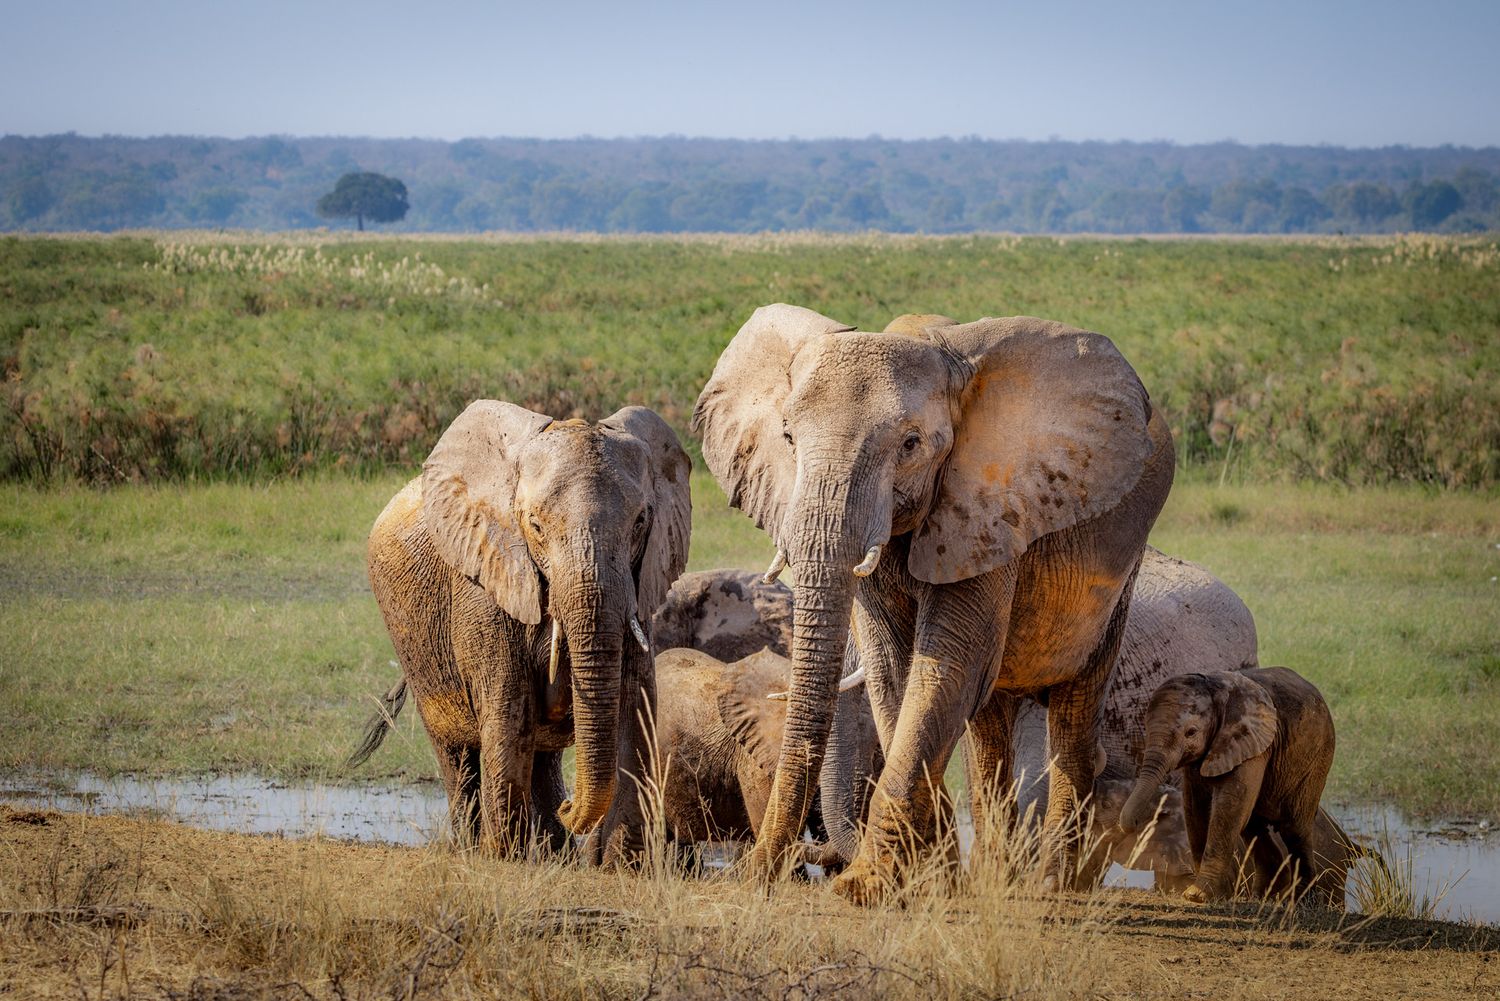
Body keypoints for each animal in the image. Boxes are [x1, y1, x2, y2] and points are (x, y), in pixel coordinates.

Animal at [350, 401, 692, 862]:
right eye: (535, 525)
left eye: (640, 522)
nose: (572, 806)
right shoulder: (485, 585)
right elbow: (508, 708)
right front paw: (505, 859)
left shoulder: (637, 592)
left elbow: (635, 706)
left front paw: (622, 866)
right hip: (413, 643)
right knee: (457, 755)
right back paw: (477, 848)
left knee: (542, 755)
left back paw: (556, 853)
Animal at [694, 305, 1174, 901]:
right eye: (786, 435)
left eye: (910, 444)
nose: (753, 874)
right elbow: (896, 672)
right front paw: (927, 885)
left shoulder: (988, 506)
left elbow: (944, 666)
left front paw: (863, 889)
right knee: (988, 729)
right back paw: (992, 878)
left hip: (1121, 574)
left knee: (1074, 715)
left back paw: (1051, 885)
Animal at [1119, 667, 1341, 906]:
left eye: (1191, 732)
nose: (1133, 825)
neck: (1215, 688)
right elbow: (1195, 808)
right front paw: (1208, 893)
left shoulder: (1252, 742)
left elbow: (1229, 806)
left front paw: (1196, 895)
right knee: (1254, 825)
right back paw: (1262, 896)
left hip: (1317, 758)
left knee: (1294, 828)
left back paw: (1302, 900)